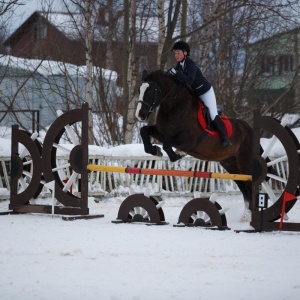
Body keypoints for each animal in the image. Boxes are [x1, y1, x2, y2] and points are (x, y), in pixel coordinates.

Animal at [137, 70, 255, 211]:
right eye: (139, 90)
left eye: (150, 91)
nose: (140, 115)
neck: (174, 107)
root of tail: (248, 127)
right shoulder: (162, 133)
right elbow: (144, 131)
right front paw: (155, 150)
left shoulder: (189, 140)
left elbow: (167, 144)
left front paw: (177, 155)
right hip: (230, 164)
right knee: (244, 187)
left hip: (244, 162)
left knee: (250, 184)